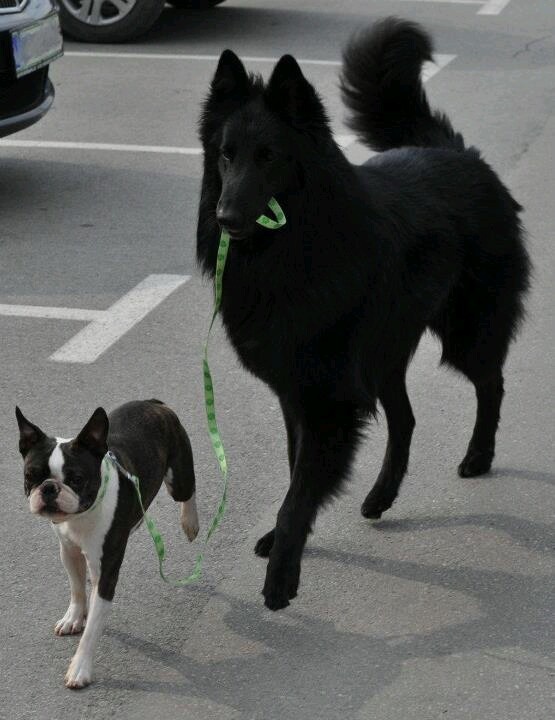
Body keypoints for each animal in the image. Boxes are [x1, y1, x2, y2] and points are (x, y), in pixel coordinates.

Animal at [198, 19, 532, 612]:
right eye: (225, 155)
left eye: (268, 156)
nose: (227, 217)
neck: (298, 249)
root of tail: (457, 153)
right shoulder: (296, 394)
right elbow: (296, 472)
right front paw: (286, 542)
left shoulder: (326, 399)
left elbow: (298, 491)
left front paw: (282, 577)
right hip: (384, 357)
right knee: (406, 418)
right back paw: (381, 495)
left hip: (464, 334)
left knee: (490, 383)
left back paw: (479, 455)